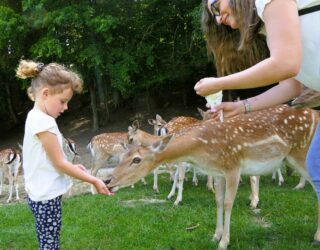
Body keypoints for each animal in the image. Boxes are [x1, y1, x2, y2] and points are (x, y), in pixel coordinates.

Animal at [105, 104, 320, 249]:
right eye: (123, 156)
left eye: (136, 159)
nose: (107, 180)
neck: (202, 150)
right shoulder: (219, 172)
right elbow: (218, 200)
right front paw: (215, 236)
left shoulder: (233, 167)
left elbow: (227, 203)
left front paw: (224, 242)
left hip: (303, 156)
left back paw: (315, 235)